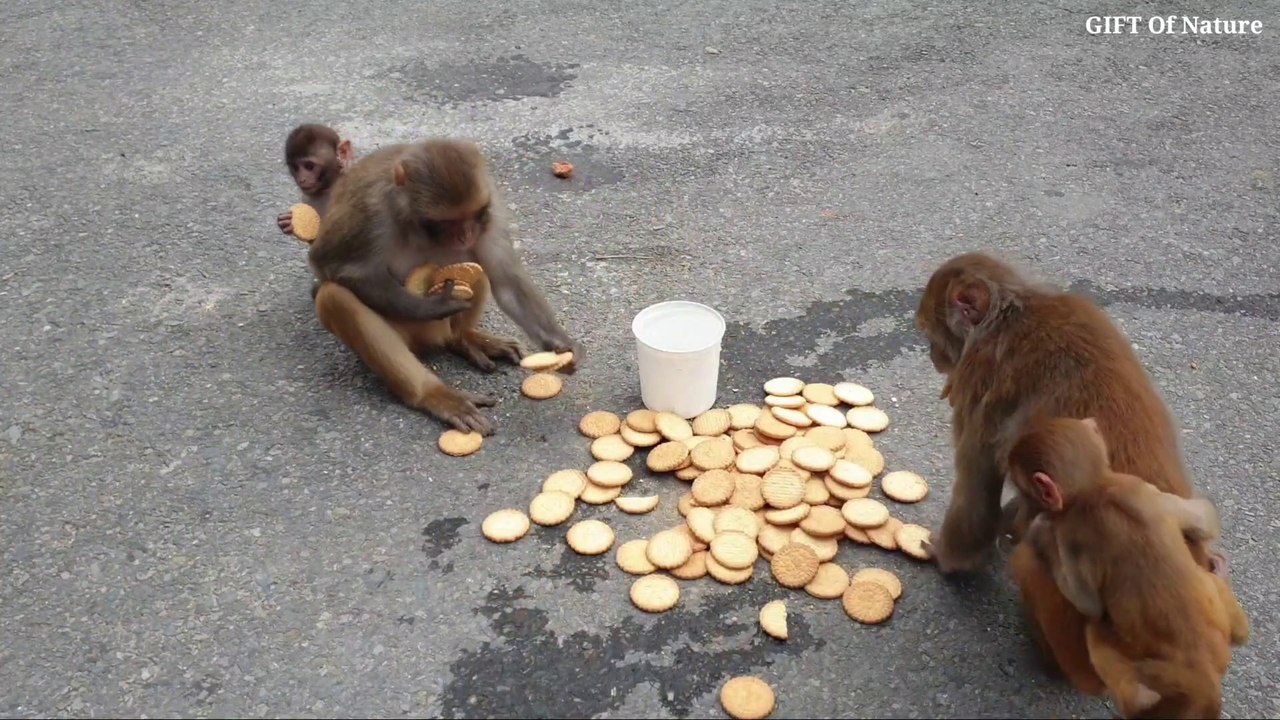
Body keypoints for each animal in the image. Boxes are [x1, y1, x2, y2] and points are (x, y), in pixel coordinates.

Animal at [307, 137, 580, 435]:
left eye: (472, 214)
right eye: (447, 222)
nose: (466, 234)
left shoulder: (491, 208)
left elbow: (505, 278)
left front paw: (560, 346)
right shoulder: (369, 210)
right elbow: (333, 265)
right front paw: (433, 306)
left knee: (476, 262)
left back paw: (463, 339)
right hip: (410, 334)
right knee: (333, 297)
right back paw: (433, 394)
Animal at [1009, 416, 1250, 719]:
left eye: (1022, 489)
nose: (1023, 506)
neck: (1096, 486)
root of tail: (1204, 671)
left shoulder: (1070, 531)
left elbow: (1088, 604)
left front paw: (1040, 534)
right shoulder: (1142, 488)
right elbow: (1203, 518)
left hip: (1150, 664)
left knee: (1095, 631)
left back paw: (1137, 701)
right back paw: (1227, 592)